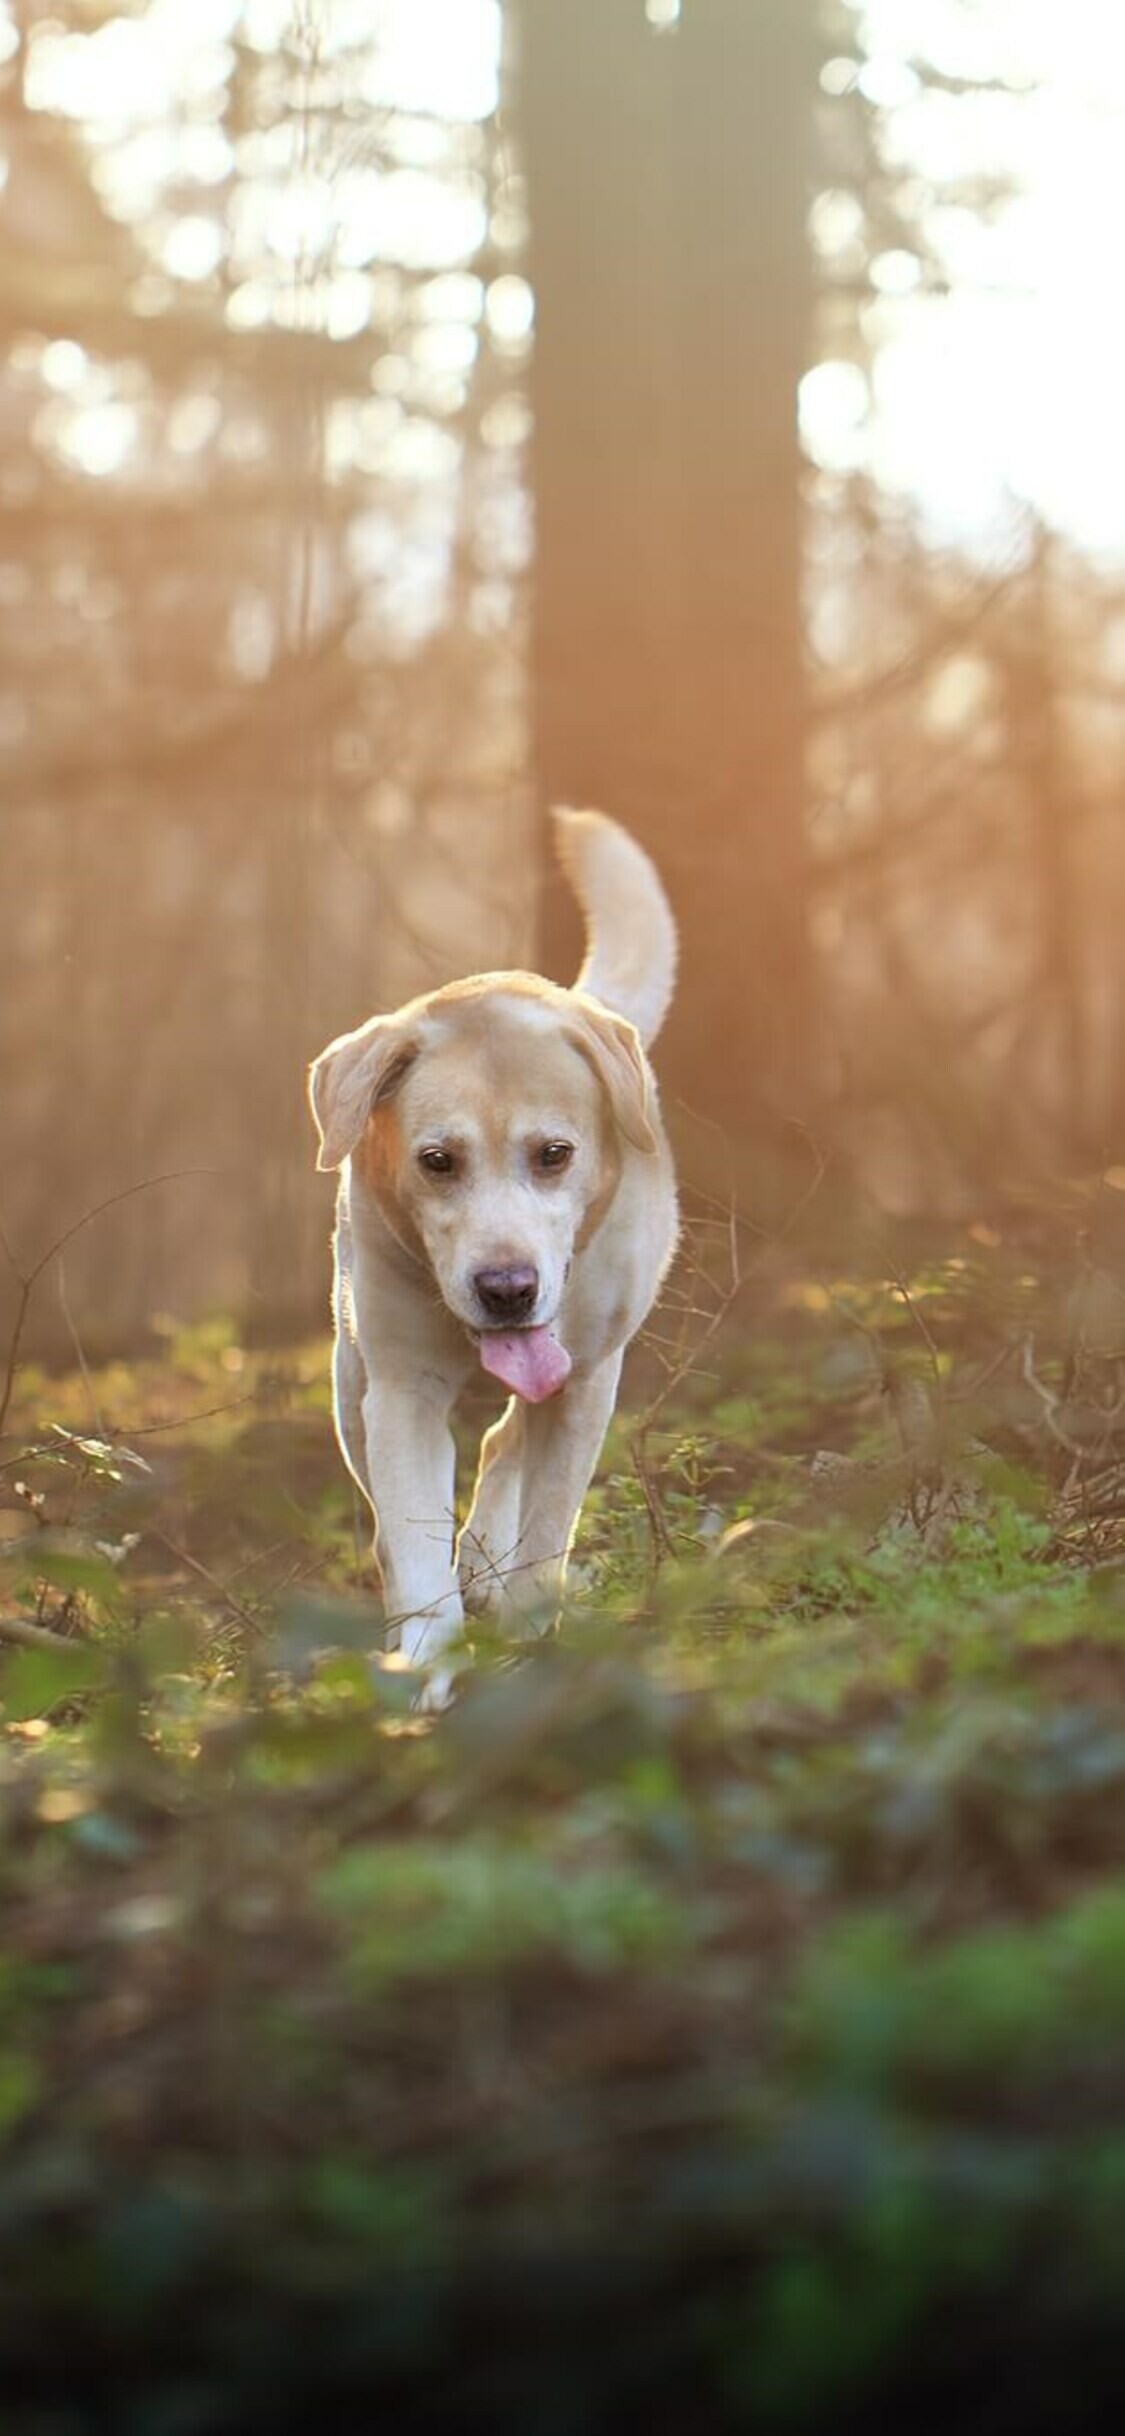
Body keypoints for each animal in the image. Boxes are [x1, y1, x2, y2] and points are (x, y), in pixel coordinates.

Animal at [305, 813, 676, 1675]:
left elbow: (546, 1529)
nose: (507, 1288)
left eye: (554, 1154)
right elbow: (411, 1540)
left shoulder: (585, 1384)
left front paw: (528, 1638)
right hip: (348, 1380)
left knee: (508, 1437)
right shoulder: (400, 1389)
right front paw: (424, 1668)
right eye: (437, 1161)